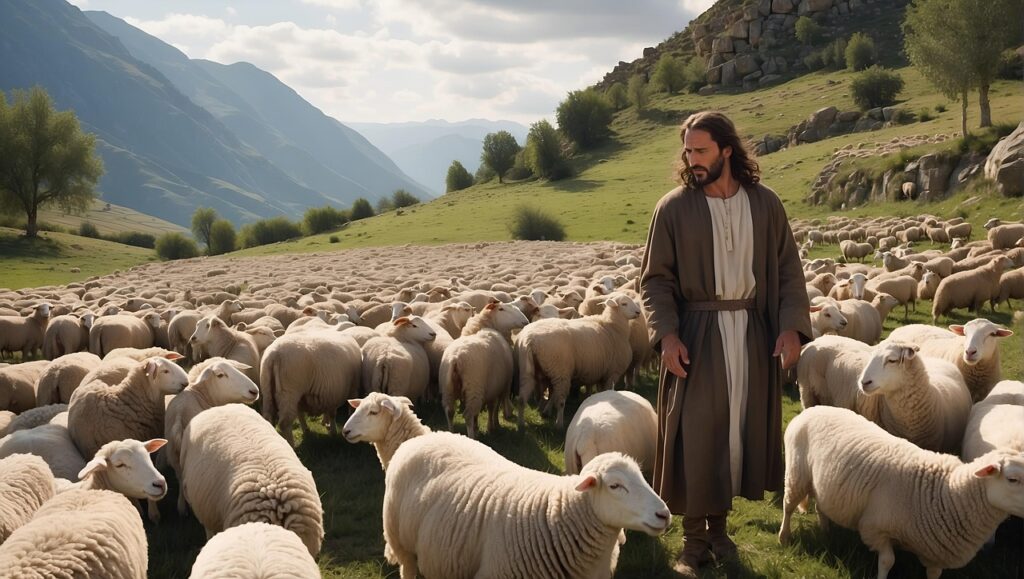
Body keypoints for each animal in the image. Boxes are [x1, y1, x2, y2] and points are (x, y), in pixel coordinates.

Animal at [165, 358, 259, 516]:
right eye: (220, 375)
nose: (254, 391)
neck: (200, 393)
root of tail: (179, 415)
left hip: (172, 452)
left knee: (179, 476)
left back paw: (182, 508)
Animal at [439, 301, 529, 439]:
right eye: (501, 309)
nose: (526, 321)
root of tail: (455, 358)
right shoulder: (501, 386)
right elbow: (494, 408)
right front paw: (493, 426)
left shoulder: (490, 388)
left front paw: (479, 427)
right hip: (474, 388)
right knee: (468, 415)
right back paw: (472, 438)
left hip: (447, 388)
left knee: (449, 411)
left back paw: (451, 433)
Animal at [779, 405, 1024, 579]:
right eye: (1012, 479)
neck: (946, 494)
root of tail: (811, 409)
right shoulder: (875, 528)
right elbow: (888, 561)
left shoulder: (935, 551)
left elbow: (933, 573)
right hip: (796, 475)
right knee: (788, 506)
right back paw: (784, 538)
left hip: (821, 482)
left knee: (820, 505)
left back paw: (826, 530)